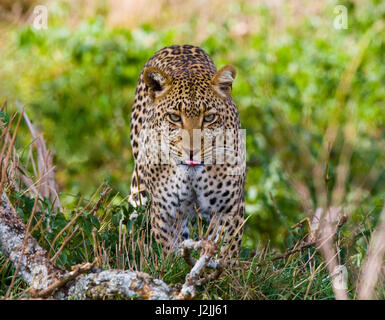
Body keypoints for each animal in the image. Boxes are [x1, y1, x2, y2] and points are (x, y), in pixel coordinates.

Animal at [127, 44, 244, 260]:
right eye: (174, 117)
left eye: (209, 117)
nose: (192, 151)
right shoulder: (166, 213)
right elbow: (170, 252)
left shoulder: (228, 210)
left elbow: (225, 251)